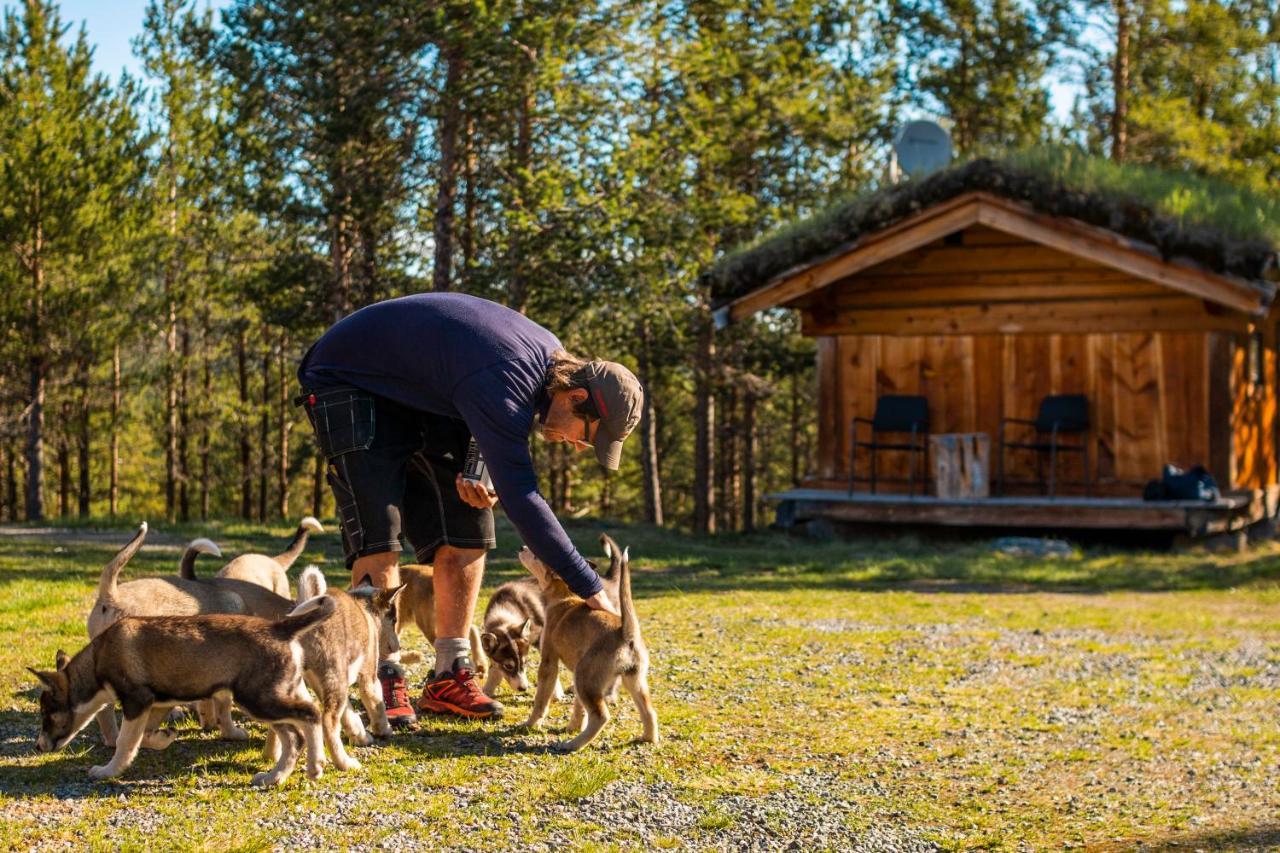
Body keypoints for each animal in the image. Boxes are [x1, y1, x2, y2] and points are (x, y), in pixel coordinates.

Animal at [32, 591, 337, 783]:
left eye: (47, 714)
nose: (38, 747)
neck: (97, 661)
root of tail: (280, 629)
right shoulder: (156, 703)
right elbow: (144, 737)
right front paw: (165, 737)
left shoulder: (136, 701)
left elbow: (124, 742)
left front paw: (109, 771)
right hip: (275, 695)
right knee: (295, 736)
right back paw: (275, 777)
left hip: (258, 699)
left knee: (310, 715)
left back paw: (314, 766)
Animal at [481, 532, 624, 696]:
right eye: (508, 666)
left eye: (524, 663)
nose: (523, 688)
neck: (507, 608)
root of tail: (608, 579)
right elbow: (494, 669)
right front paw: (486, 691)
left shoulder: (543, 639)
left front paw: (557, 694)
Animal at [519, 537, 660, 753]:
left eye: (536, 554)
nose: (522, 547)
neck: (565, 596)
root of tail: (626, 633)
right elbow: (579, 708)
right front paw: (573, 726)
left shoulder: (549, 661)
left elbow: (541, 699)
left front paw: (531, 724)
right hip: (633, 681)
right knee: (649, 711)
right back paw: (648, 738)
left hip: (586, 678)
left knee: (601, 717)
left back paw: (573, 745)